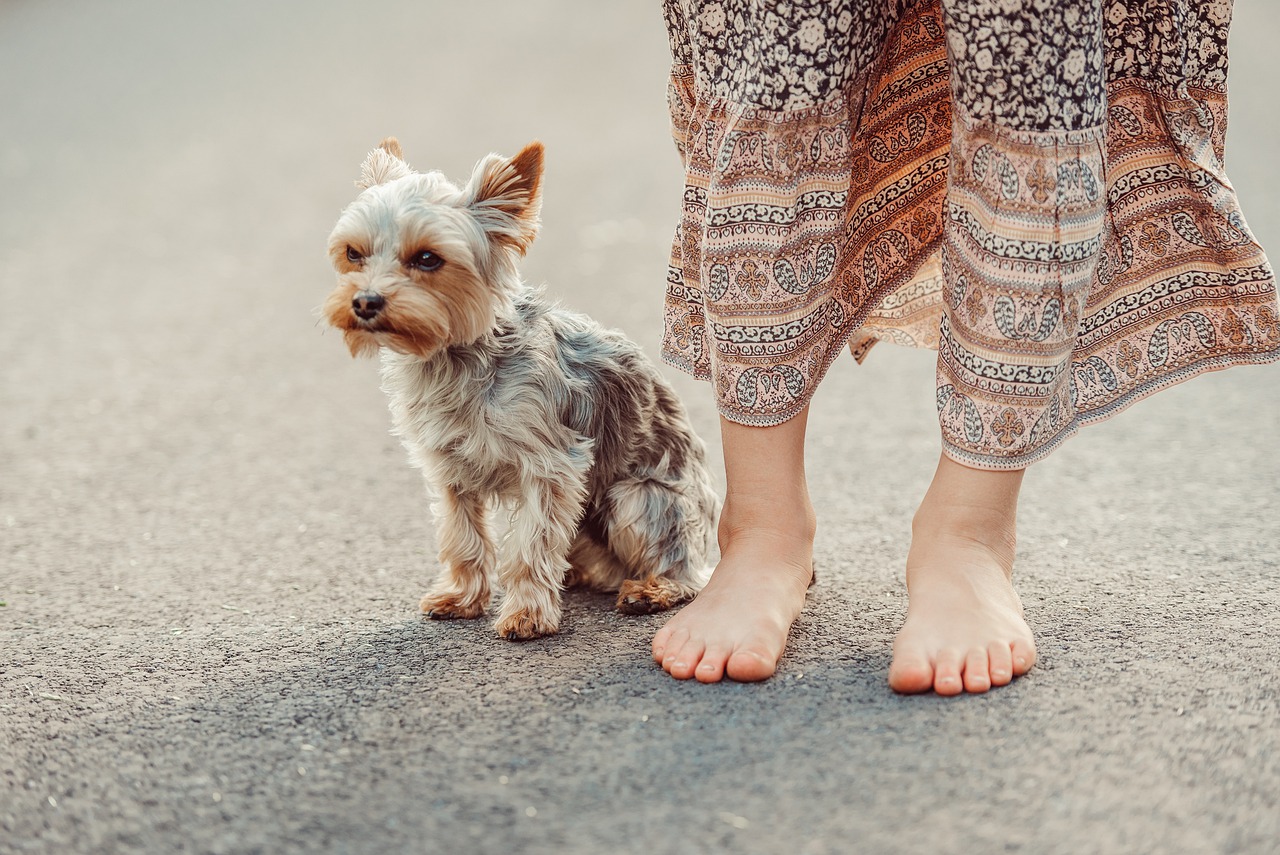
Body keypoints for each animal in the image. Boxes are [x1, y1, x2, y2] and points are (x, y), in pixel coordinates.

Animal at [320, 136, 721, 637]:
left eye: (428, 258)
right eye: (354, 254)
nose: (365, 302)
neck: (456, 356)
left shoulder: (550, 466)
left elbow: (530, 546)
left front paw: (527, 615)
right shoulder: (449, 470)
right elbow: (462, 536)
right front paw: (462, 598)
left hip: (637, 498)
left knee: (683, 570)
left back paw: (653, 589)